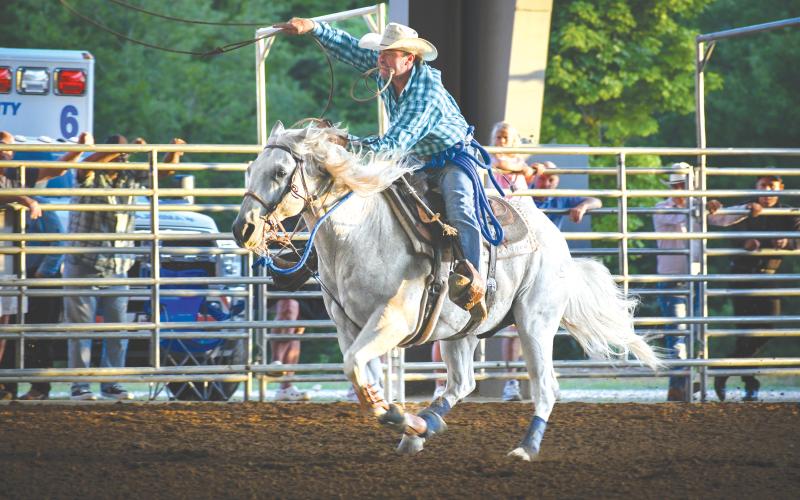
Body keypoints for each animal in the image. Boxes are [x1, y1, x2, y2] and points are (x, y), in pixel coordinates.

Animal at [232, 123, 662, 461]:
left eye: (280, 171)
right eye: (252, 170)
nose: (243, 229)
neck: (360, 232)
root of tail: (556, 240)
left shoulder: (393, 320)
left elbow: (355, 365)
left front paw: (397, 416)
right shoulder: (348, 326)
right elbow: (363, 372)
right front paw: (403, 423)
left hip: (534, 322)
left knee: (545, 386)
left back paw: (525, 447)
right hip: (461, 331)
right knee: (462, 383)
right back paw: (425, 425)